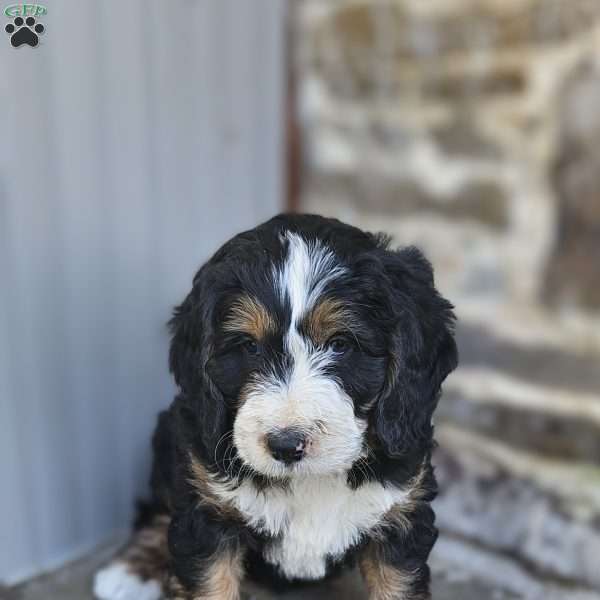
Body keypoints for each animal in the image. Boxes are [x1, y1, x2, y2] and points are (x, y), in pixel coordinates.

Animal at [95, 214, 460, 600]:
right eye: (249, 347)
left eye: (340, 344)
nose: (286, 445)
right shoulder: (206, 513)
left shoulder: (402, 511)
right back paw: (132, 568)